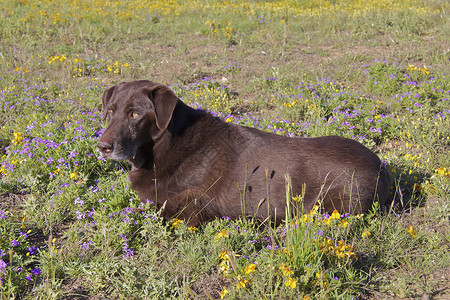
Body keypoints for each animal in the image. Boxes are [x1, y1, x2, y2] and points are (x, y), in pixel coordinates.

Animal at [98, 79, 390, 225]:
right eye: (110, 111)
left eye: (135, 114)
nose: (103, 147)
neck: (167, 143)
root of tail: (381, 166)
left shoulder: (187, 213)